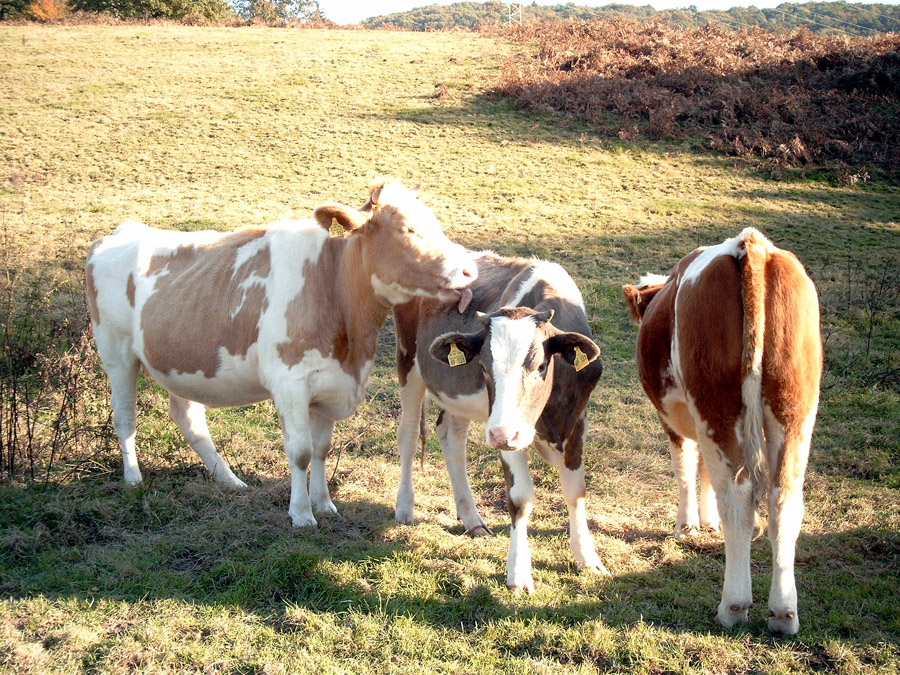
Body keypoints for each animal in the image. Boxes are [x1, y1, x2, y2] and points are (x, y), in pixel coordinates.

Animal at [86, 184, 478, 528]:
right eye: (407, 229)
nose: (470, 270)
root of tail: (120, 232)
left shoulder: (328, 384)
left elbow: (321, 449)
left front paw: (324, 503)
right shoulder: (291, 383)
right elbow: (301, 451)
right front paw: (302, 514)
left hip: (181, 359)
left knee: (188, 418)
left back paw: (228, 479)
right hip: (116, 352)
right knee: (125, 417)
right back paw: (133, 479)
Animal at [394, 252, 604, 592]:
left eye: (541, 365)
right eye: (483, 367)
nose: (501, 434)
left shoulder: (577, 420)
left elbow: (576, 491)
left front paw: (587, 557)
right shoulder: (507, 432)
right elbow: (520, 498)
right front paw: (518, 575)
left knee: (451, 436)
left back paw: (471, 518)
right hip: (409, 361)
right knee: (409, 436)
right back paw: (404, 507)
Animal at [620, 230, 824, 636]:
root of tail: (751, 245)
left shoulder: (675, 421)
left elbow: (685, 470)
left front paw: (687, 526)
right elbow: (703, 472)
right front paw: (706, 521)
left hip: (716, 405)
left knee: (737, 497)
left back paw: (733, 606)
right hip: (794, 411)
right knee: (784, 500)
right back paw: (784, 613)